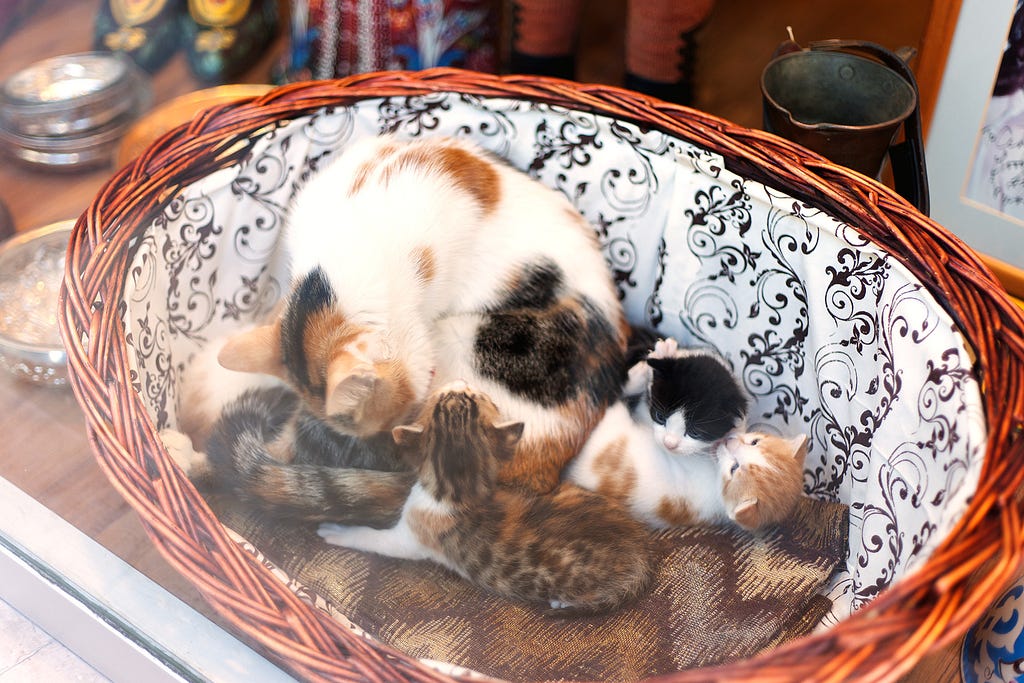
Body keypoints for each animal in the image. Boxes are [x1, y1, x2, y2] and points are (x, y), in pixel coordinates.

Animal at [317, 385, 655, 614]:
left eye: (475, 397)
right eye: (447, 396)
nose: (460, 384)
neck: (460, 485)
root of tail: (641, 549)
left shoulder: (411, 538)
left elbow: (374, 539)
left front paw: (335, 531)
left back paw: (561, 602)